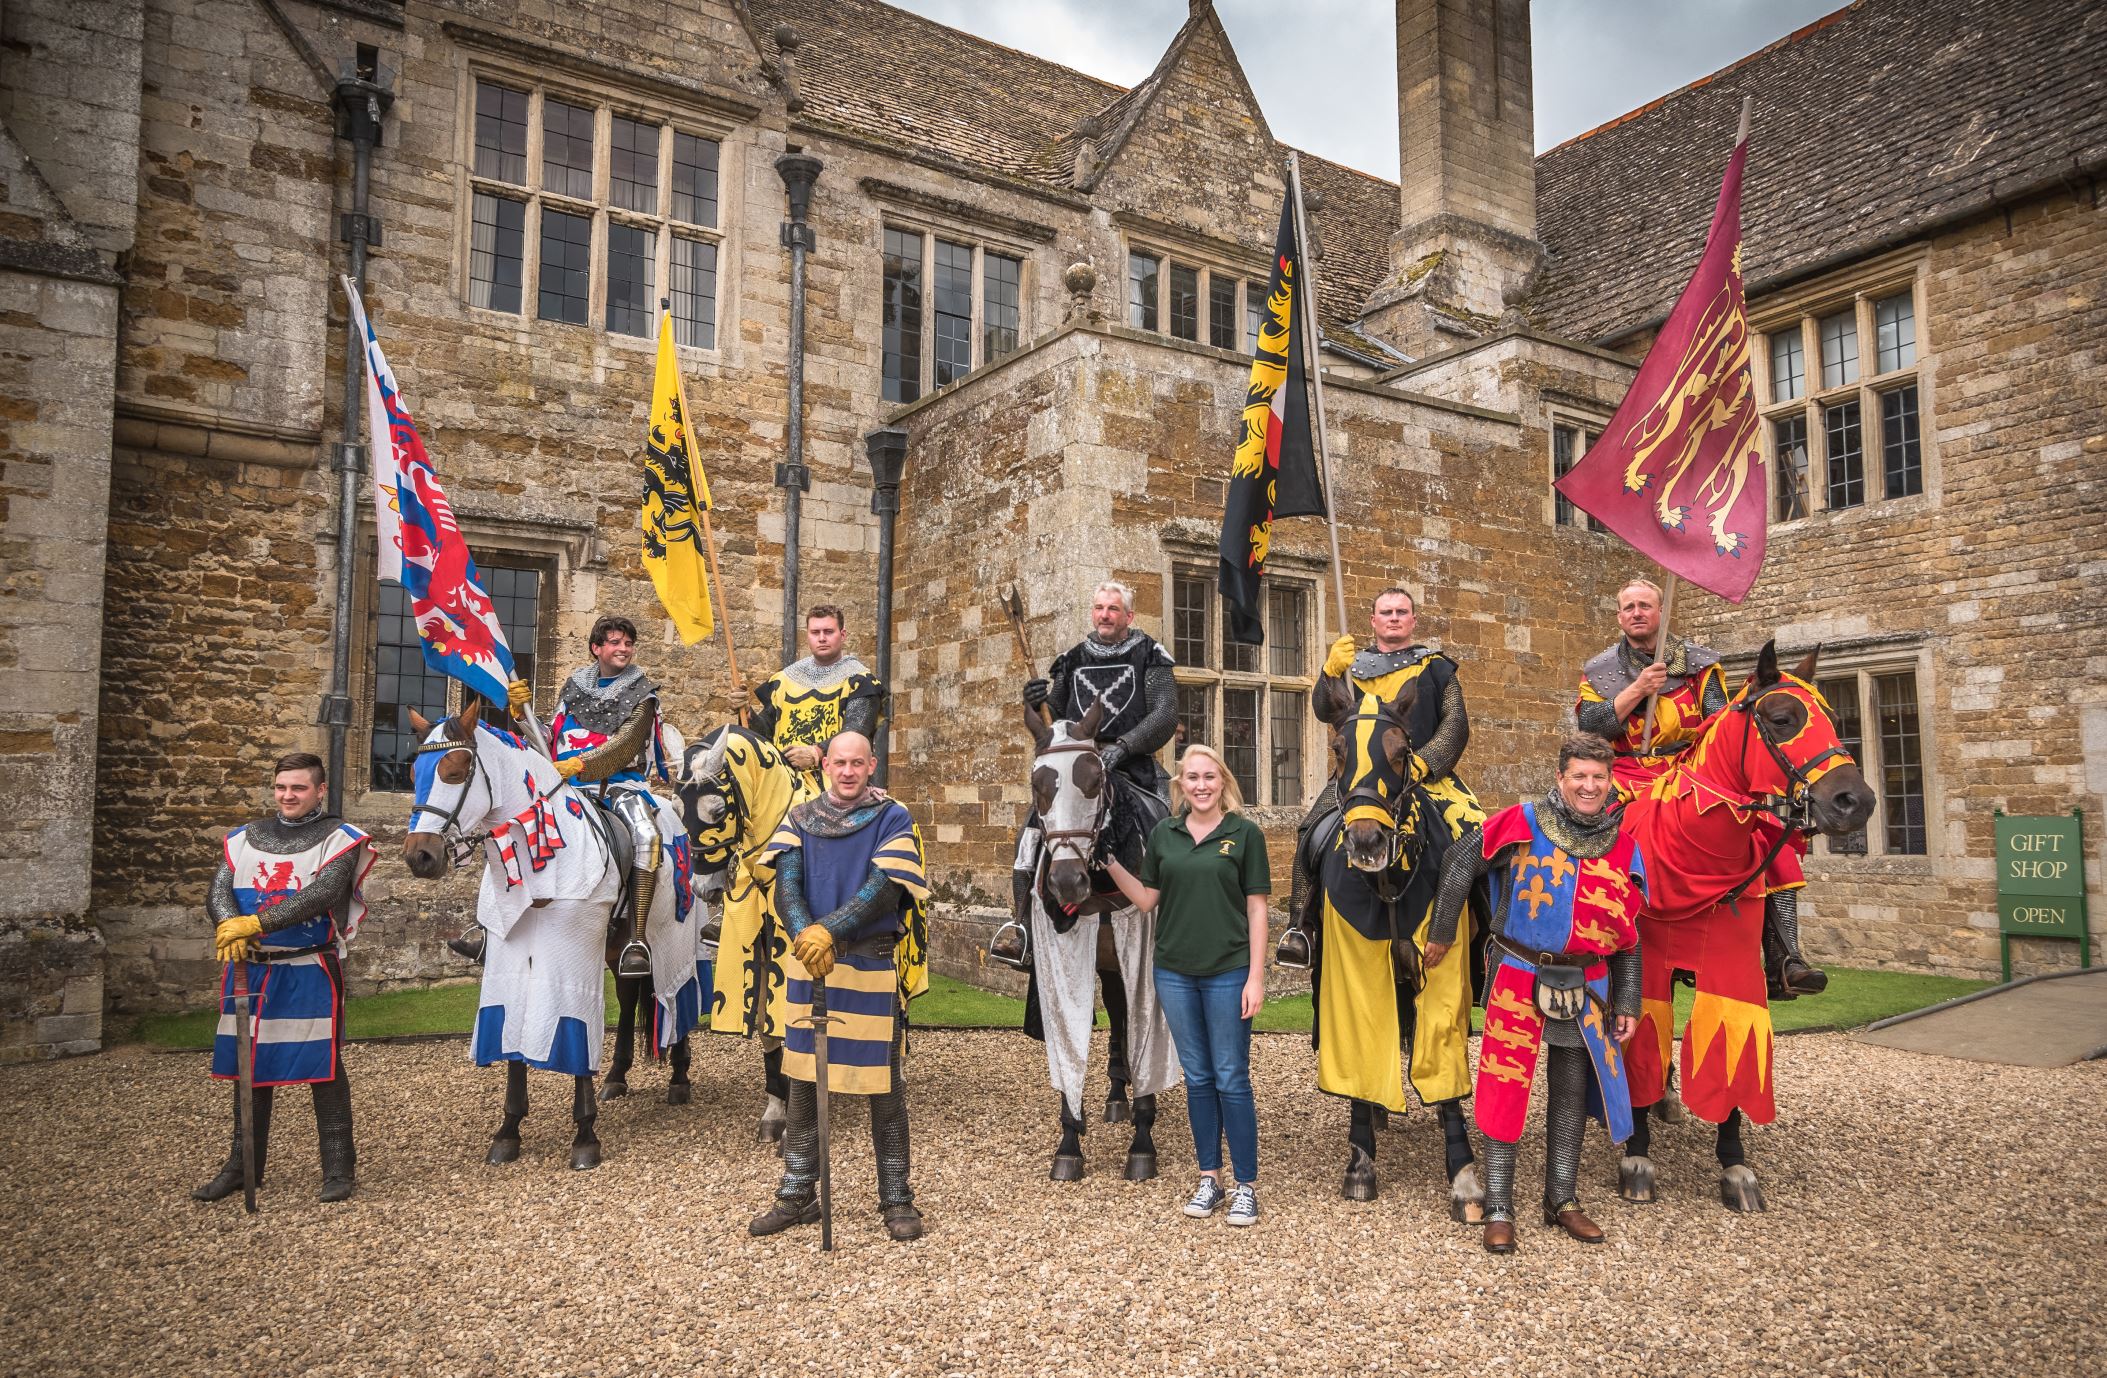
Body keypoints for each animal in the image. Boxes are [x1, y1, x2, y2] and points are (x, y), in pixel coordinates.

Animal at [402, 703, 707, 1163]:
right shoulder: (509, 960)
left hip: (673, 940)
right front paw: (508, 1130)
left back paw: (680, 1078)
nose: (420, 856)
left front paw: (585, 1135)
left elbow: (574, 1022)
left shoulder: (571, 955)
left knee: (676, 995)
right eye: (413, 770)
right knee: (630, 994)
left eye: (456, 769)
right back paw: (616, 1076)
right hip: (616, 948)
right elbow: (510, 1030)